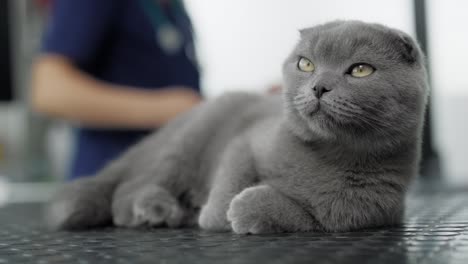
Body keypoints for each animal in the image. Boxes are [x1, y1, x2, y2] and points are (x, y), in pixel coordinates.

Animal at [46, 20, 428, 234]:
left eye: (360, 70)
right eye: (305, 64)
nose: (319, 86)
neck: (328, 154)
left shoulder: (367, 212)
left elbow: (307, 216)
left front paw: (248, 209)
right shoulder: (246, 142)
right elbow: (232, 177)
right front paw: (216, 216)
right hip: (186, 144)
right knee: (131, 186)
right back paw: (152, 211)